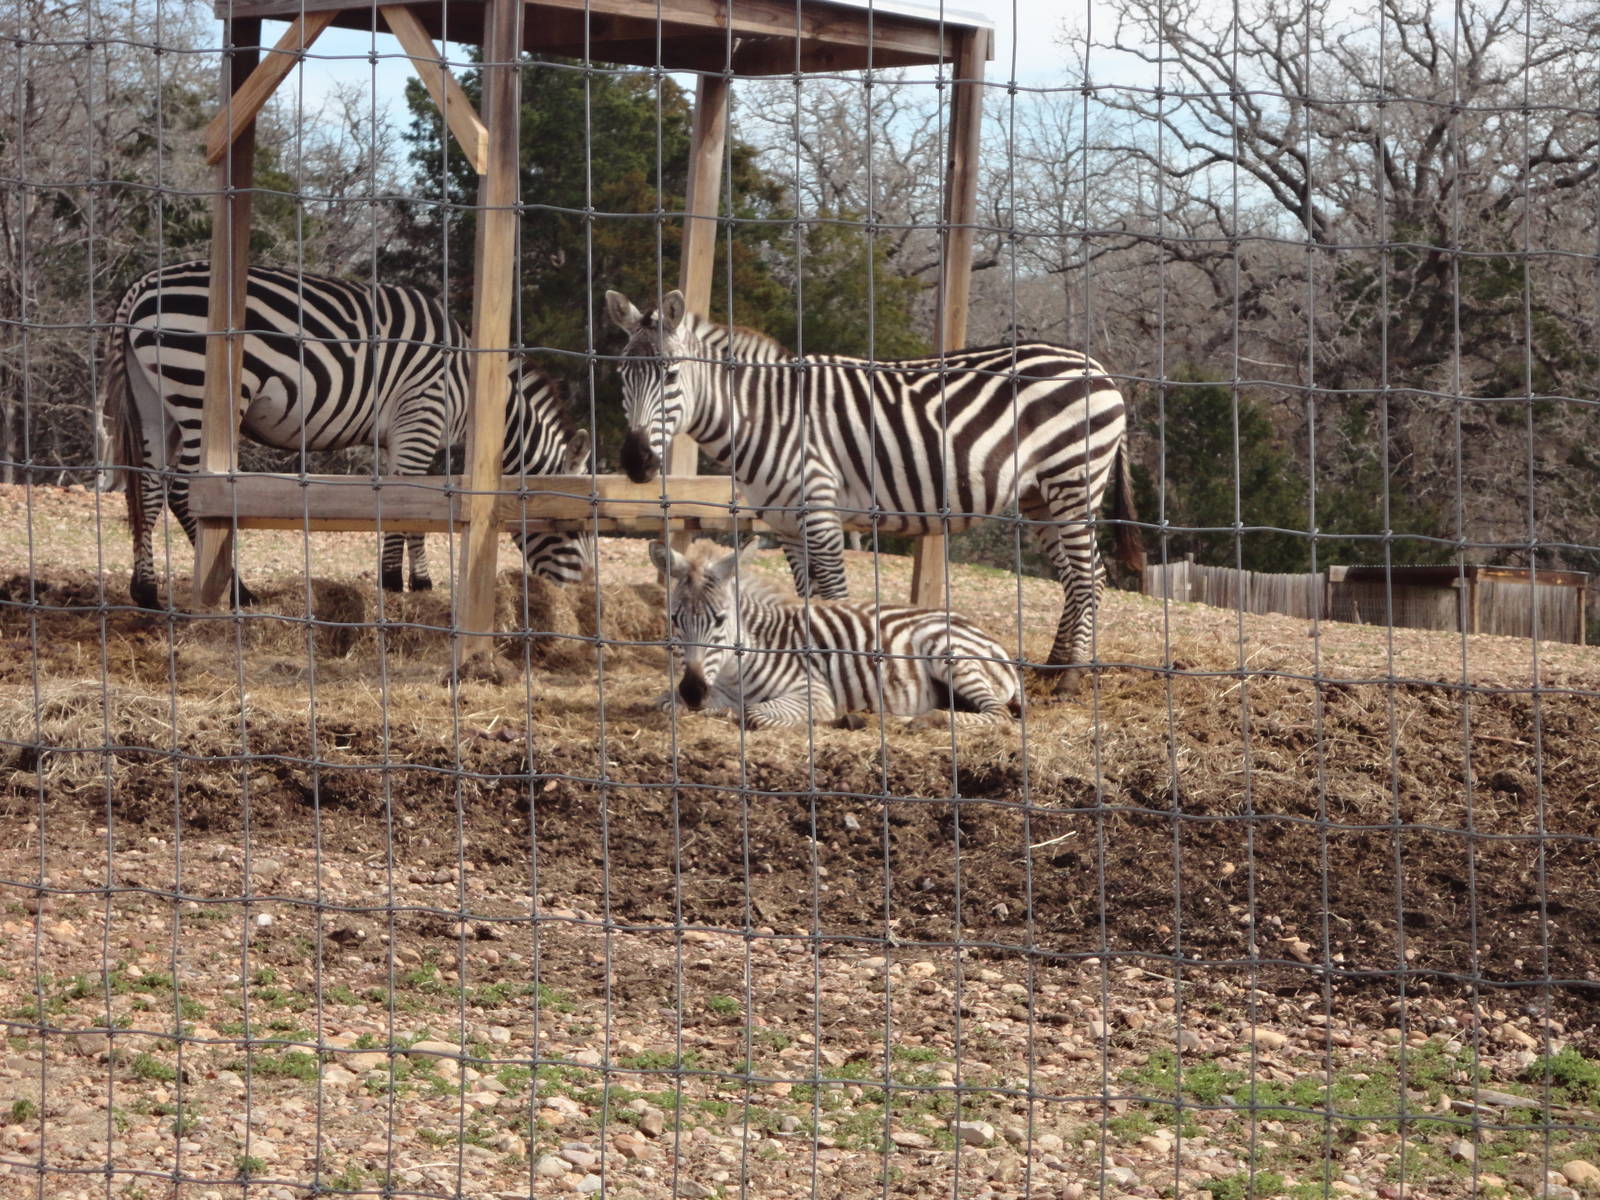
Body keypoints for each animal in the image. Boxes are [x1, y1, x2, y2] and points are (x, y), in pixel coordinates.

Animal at [104, 261, 594, 609]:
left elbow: (422, 509)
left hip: (154, 402)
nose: (580, 599)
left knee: (147, 488)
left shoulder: (407, 435)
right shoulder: (420, 418)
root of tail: (142, 286)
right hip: (198, 395)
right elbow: (402, 508)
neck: (473, 391)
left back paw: (146, 592)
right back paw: (238, 591)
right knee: (184, 493)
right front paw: (392, 584)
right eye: (571, 526)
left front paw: (419, 582)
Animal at [606, 289, 1144, 672]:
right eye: (620, 376)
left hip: (1072, 482)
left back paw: (1072, 676)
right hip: (1039, 498)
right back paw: (1054, 667)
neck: (765, 417)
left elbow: (835, 597)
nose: (636, 462)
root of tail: (1096, 368)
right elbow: (808, 600)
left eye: (671, 376)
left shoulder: (820, 513)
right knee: (1076, 578)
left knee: (1090, 575)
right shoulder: (785, 525)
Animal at [651, 539, 1021, 728]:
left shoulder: (814, 693)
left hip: (947, 652)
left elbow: (754, 713)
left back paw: (927, 721)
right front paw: (706, 707)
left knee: (999, 716)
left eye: (720, 620)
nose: (693, 691)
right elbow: (666, 702)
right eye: (675, 619)